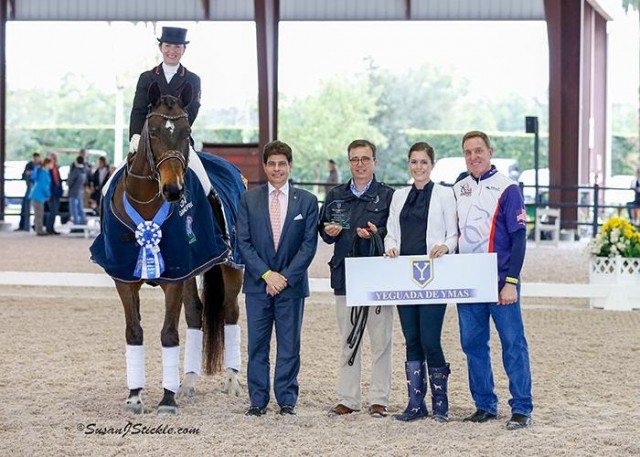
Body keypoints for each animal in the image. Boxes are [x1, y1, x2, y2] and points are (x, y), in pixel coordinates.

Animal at [91, 81, 246, 414]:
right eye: (152, 132)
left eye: (187, 132)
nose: (173, 190)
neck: (146, 203)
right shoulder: (125, 278)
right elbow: (134, 332)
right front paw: (135, 396)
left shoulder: (174, 278)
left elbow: (169, 334)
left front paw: (167, 399)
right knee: (196, 315)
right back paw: (187, 382)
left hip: (231, 265)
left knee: (230, 313)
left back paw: (231, 381)